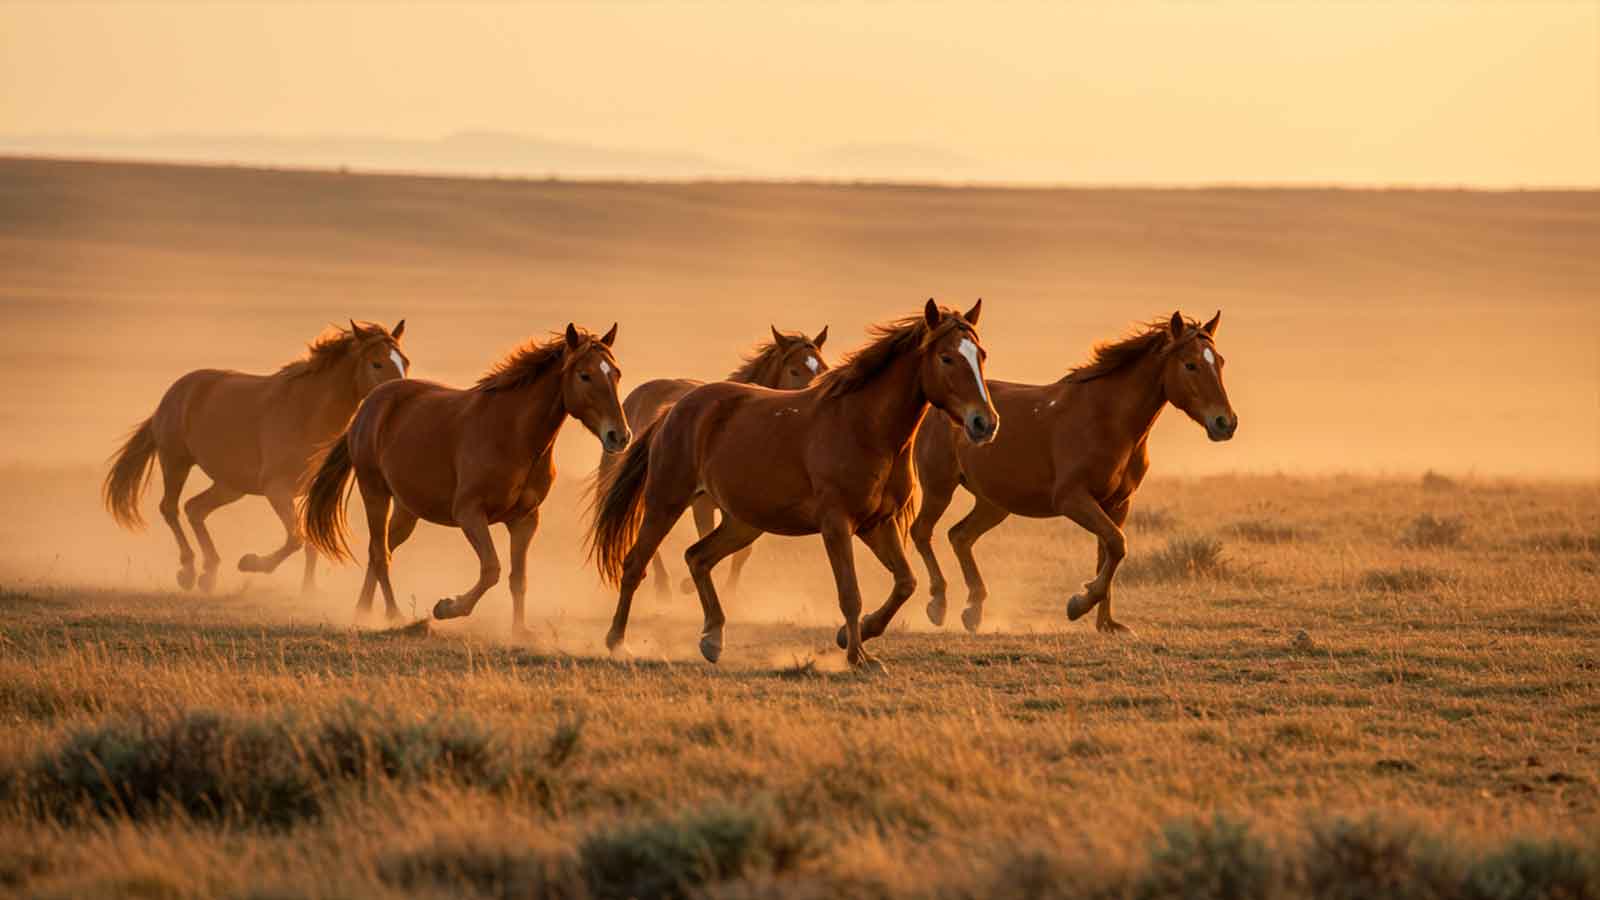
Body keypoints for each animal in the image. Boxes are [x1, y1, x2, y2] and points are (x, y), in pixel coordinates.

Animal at [100, 318, 409, 592]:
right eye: (377, 363)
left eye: (404, 362)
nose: (398, 394)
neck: (306, 413)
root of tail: (175, 392)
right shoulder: (277, 489)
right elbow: (296, 539)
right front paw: (252, 563)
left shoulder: (309, 494)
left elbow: (310, 541)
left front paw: (308, 590)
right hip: (176, 462)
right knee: (170, 508)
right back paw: (188, 571)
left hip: (230, 486)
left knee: (194, 509)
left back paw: (209, 573)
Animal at [302, 323, 627, 630]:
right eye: (585, 375)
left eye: (617, 374)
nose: (619, 436)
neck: (512, 434)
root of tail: (370, 403)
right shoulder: (469, 513)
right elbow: (492, 569)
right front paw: (447, 607)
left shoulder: (525, 520)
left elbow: (518, 579)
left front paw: (520, 631)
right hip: (375, 493)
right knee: (381, 555)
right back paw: (393, 615)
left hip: (407, 511)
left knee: (379, 550)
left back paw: (363, 613)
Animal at [598, 323, 832, 595]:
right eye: (794, 370)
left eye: (823, 368)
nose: (816, 398)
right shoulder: (703, 506)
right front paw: (689, 585)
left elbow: (741, 552)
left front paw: (729, 590)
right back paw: (662, 584)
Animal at [915, 312, 1235, 634]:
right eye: (1190, 364)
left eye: (1220, 361)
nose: (1226, 423)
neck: (1108, 419)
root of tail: (933, 406)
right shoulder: (1072, 499)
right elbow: (1117, 544)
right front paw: (1079, 604)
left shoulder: (1117, 504)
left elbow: (1108, 552)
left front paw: (1106, 623)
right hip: (939, 489)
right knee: (922, 532)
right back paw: (937, 605)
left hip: (994, 503)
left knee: (960, 536)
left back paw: (973, 610)